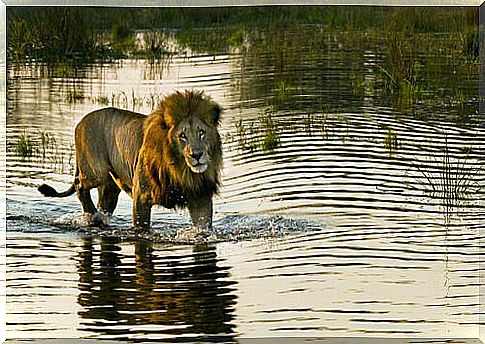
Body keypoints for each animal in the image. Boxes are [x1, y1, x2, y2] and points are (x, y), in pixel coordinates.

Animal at [37, 90, 223, 234]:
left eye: (201, 133)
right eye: (182, 136)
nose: (197, 155)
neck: (180, 169)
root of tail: (81, 121)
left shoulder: (200, 197)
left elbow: (203, 226)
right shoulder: (141, 196)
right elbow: (142, 228)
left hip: (109, 188)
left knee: (102, 204)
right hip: (95, 171)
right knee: (79, 184)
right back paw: (91, 215)